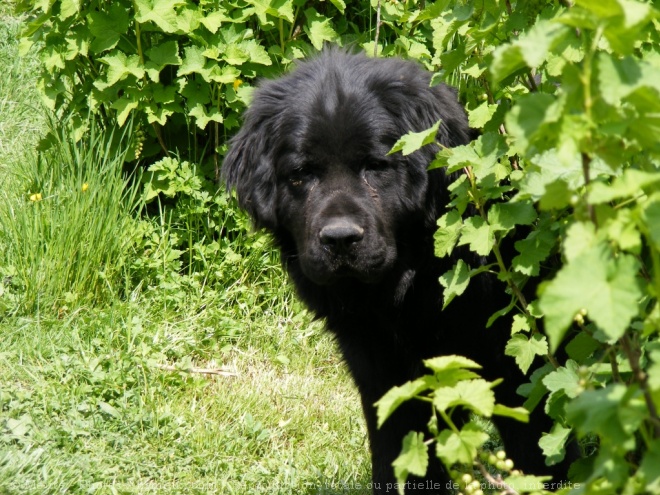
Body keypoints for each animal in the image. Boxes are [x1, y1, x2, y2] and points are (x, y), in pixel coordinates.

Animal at [224, 48, 564, 494]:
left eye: (375, 167)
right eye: (300, 175)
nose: (339, 239)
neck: (415, 282)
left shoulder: (522, 372)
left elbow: (538, 455)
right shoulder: (381, 368)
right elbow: (397, 454)